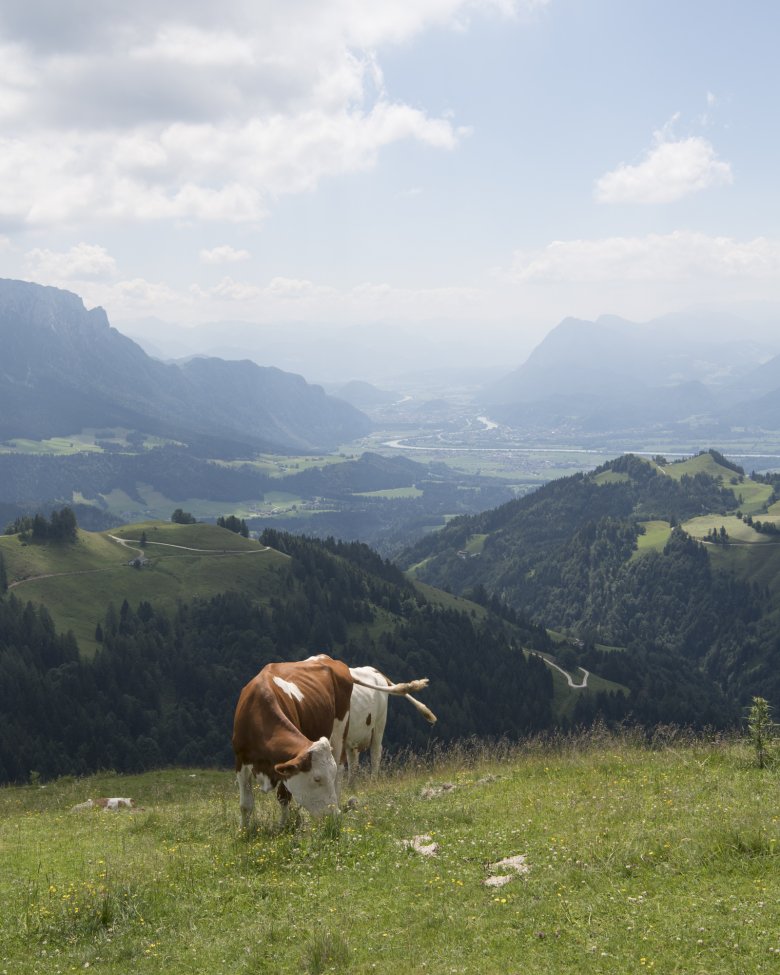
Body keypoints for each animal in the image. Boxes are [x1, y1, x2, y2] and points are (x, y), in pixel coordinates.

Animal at [232, 656, 432, 824]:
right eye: (317, 778)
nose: (334, 816)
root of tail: (332, 661)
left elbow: (283, 796)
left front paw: (284, 826)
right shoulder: (241, 759)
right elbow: (245, 805)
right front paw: (246, 831)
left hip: (356, 729)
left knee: (367, 756)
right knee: (353, 760)